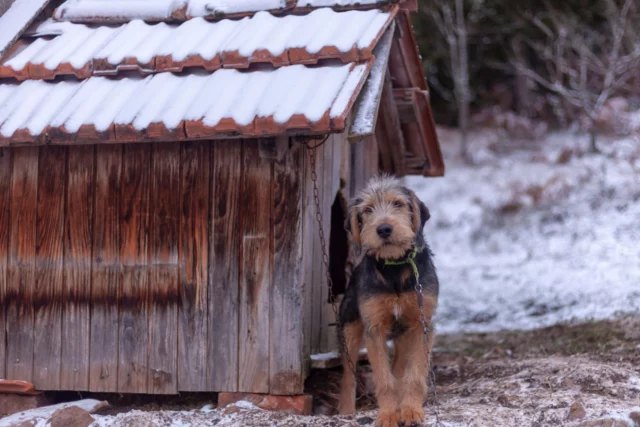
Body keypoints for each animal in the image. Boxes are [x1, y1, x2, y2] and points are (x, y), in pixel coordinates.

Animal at [338, 175, 438, 427]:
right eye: (367, 209)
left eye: (398, 204)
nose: (383, 229)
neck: (395, 267)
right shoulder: (374, 329)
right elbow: (384, 379)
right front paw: (388, 415)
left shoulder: (422, 325)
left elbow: (414, 373)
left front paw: (410, 411)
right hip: (350, 329)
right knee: (348, 376)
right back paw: (346, 411)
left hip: (403, 336)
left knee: (400, 367)